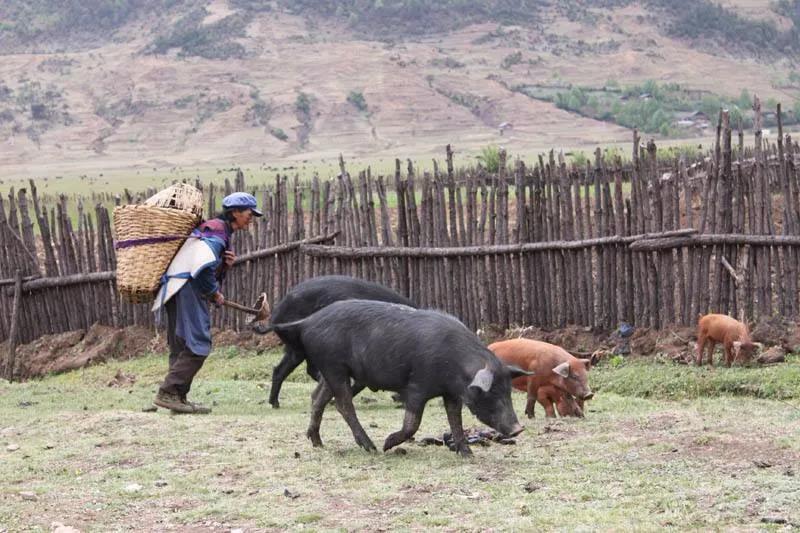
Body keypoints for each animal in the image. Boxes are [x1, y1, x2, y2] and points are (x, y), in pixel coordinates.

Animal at [268, 300, 532, 458]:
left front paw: (467, 453)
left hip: (331, 369)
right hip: (334, 366)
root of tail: (307, 321)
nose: (519, 428)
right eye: (492, 393)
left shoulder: (452, 393)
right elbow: (412, 423)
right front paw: (388, 444)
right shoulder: (417, 386)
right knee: (343, 404)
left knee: (318, 398)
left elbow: (455, 420)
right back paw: (372, 448)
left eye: (508, 391)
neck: (455, 365)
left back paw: (318, 443)